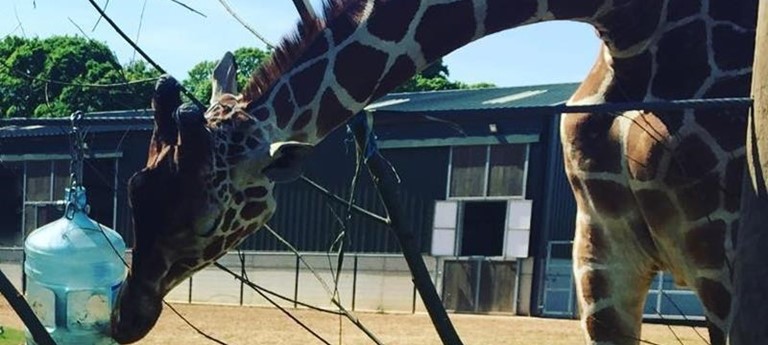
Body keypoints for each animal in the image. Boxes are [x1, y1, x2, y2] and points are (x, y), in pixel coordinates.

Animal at [111, 0, 760, 342]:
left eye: (206, 220)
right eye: (135, 189)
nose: (125, 317)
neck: (631, 27)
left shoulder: (724, 256)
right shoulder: (601, 253)